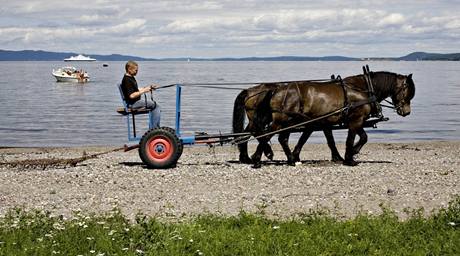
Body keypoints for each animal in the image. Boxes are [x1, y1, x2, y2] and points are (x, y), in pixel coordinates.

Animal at [232, 72, 416, 167]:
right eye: (408, 92)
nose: (406, 112)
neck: (363, 88)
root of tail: (276, 90)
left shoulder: (332, 121)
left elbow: (356, 138)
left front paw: (346, 155)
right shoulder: (355, 120)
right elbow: (353, 139)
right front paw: (349, 157)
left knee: (270, 136)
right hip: (279, 121)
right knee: (264, 135)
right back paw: (258, 159)